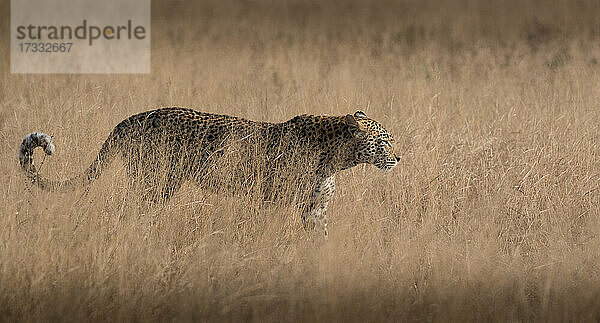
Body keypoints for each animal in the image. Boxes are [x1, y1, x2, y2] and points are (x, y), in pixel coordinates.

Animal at [17, 107, 398, 237]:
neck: (339, 157)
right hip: (158, 181)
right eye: (384, 141)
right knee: (134, 211)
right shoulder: (274, 199)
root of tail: (133, 117)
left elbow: (320, 237)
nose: (398, 158)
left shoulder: (316, 208)